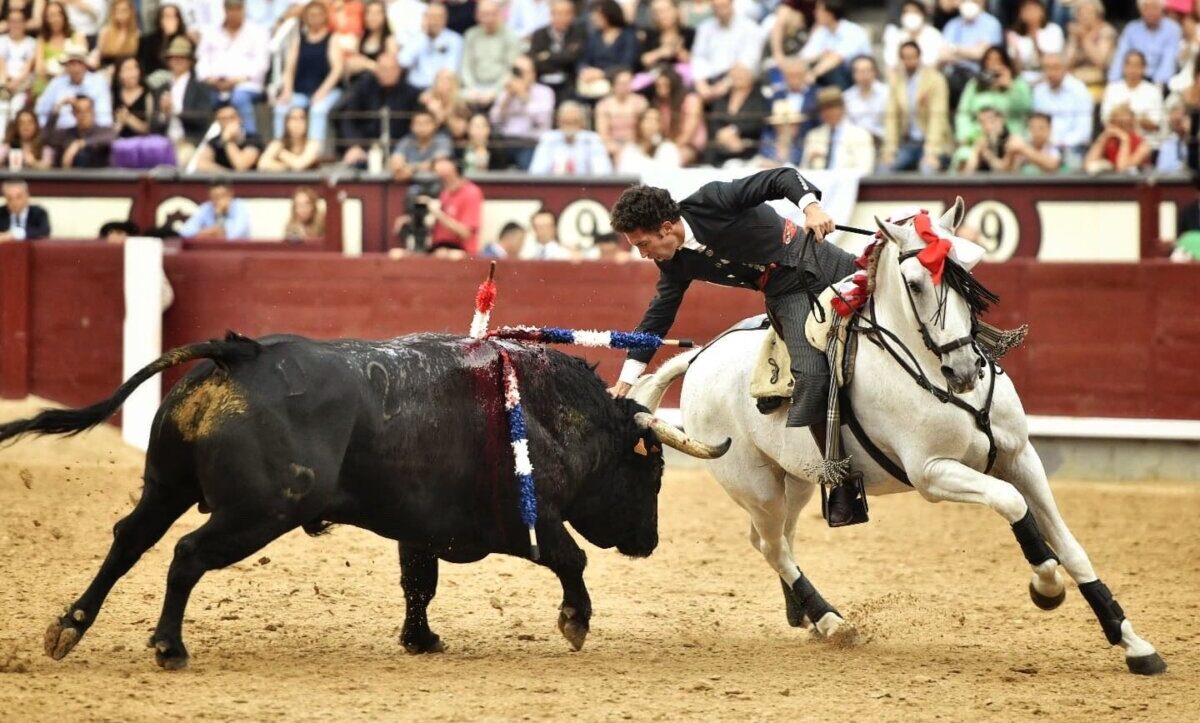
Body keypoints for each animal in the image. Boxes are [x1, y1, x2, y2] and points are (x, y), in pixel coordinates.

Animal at [630, 199, 1167, 676]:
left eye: (963, 275)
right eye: (914, 283)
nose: (965, 369)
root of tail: (700, 355)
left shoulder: (1021, 456)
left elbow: (1071, 545)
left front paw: (1133, 643)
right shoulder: (933, 474)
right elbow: (1014, 506)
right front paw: (1046, 588)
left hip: (796, 479)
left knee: (774, 538)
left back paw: (805, 616)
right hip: (754, 484)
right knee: (773, 546)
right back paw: (831, 620)